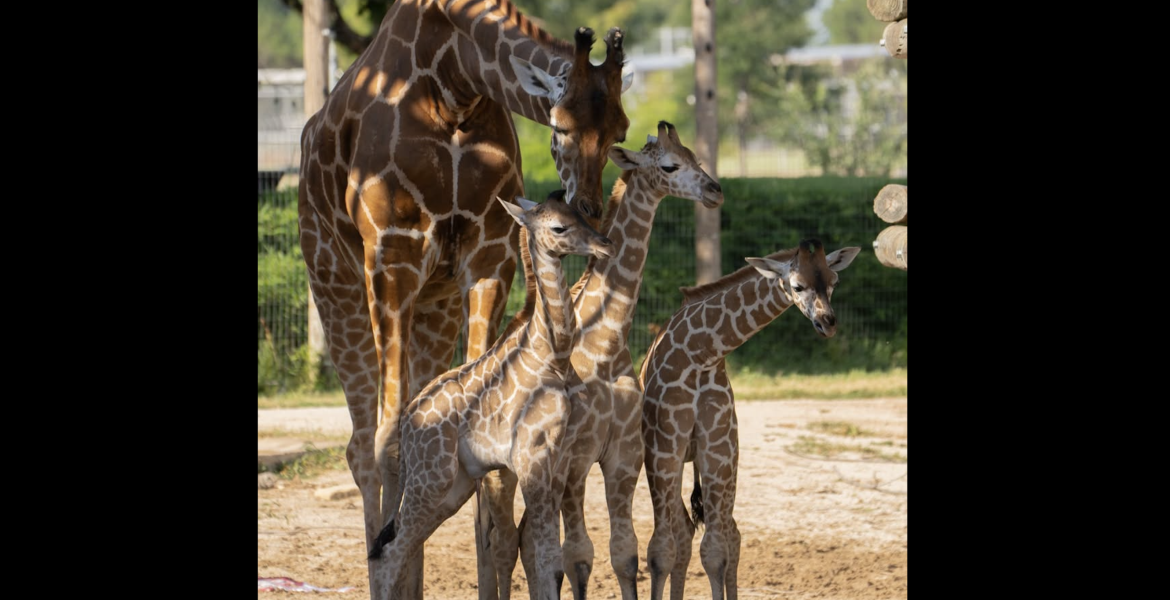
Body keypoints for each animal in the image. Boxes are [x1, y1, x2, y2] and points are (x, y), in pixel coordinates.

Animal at [366, 191, 614, 600]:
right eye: (558, 227)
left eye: (579, 214)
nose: (605, 244)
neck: (553, 355)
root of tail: (407, 423)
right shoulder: (530, 459)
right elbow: (545, 558)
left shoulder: (558, 460)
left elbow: (552, 557)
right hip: (431, 477)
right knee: (390, 551)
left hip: (456, 485)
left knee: (397, 547)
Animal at [502, 121, 723, 600]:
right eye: (669, 165)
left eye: (695, 156)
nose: (715, 191)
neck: (604, 345)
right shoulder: (573, 460)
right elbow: (576, 555)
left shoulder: (623, 456)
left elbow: (624, 552)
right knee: (509, 536)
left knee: (524, 538)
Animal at [638, 240, 862, 600]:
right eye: (797, 286)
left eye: (834, 281)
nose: (828, 323)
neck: (701, 355)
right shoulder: (663, 450)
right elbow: (660, 551)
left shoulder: (718, 452)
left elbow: (715, 552)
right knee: (683, 532)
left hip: (725, 462)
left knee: (727, 534)